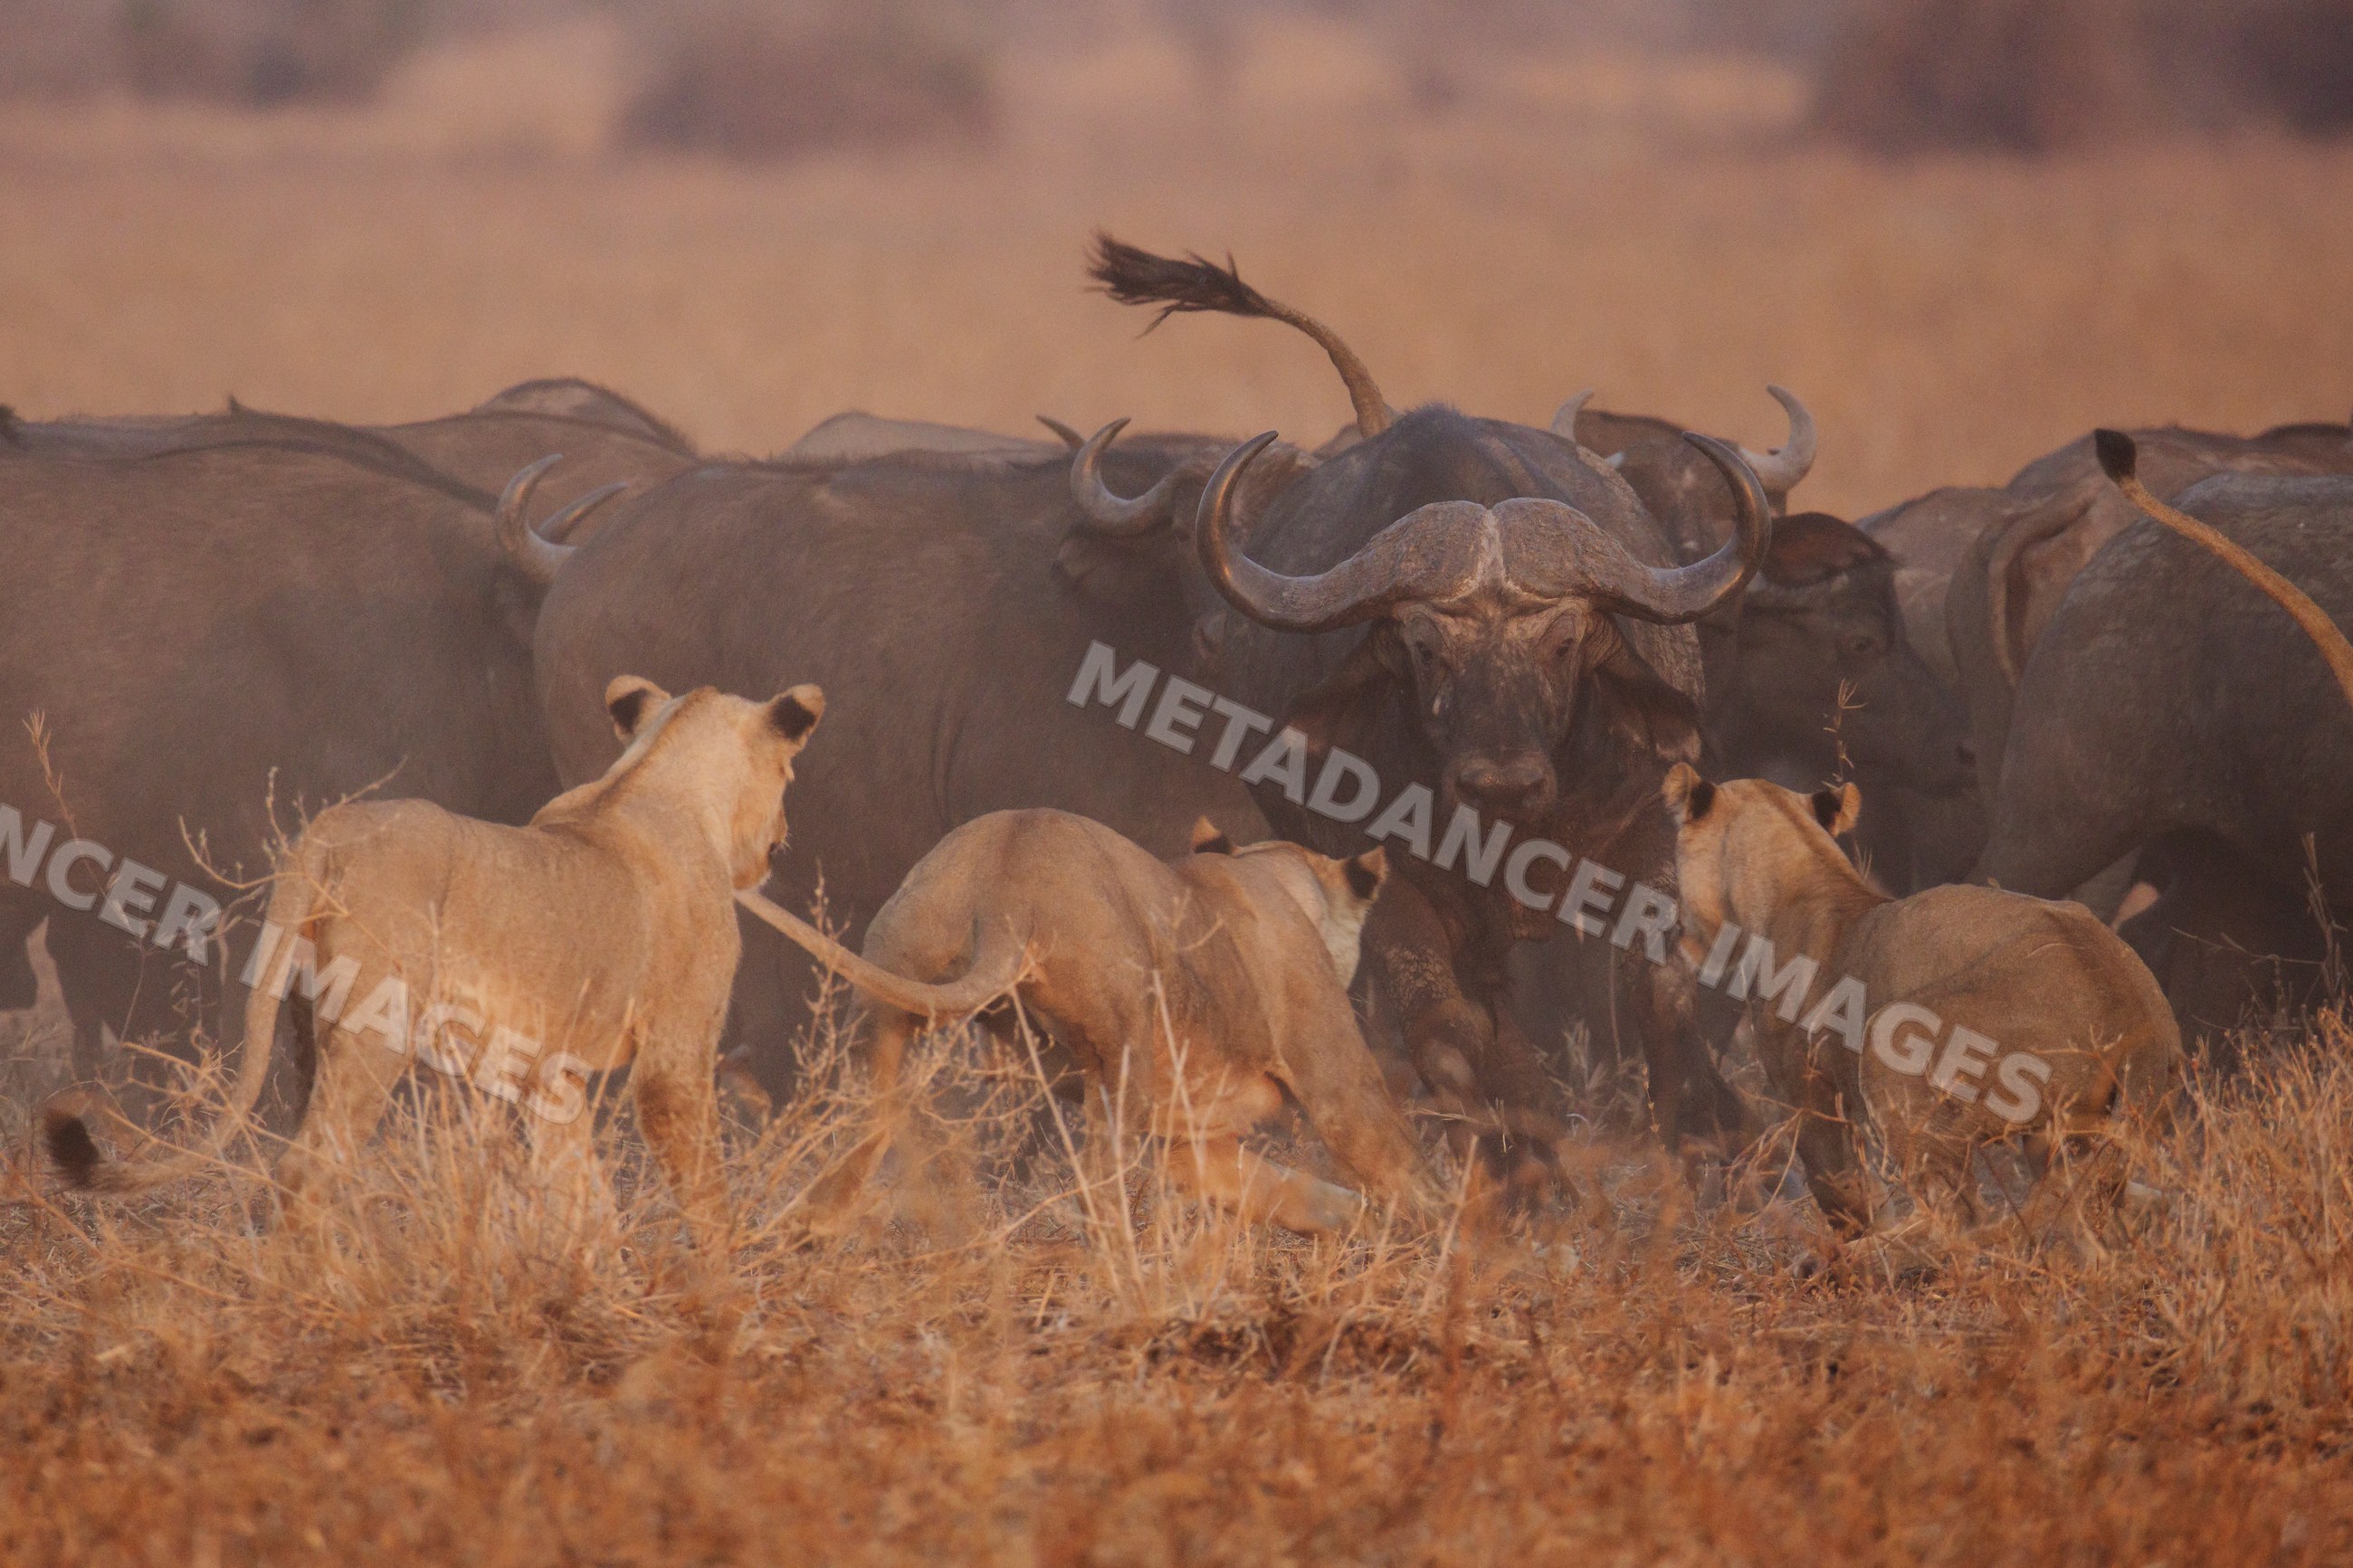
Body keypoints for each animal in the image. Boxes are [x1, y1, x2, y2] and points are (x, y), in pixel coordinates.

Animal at [46, 675, 824, 1262]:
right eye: (790, 772)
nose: (783, 839)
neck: (655, 774)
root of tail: (326, 829)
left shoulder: (550, 1073)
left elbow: (577, 1194)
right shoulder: (674, 1060)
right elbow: (702, 1188)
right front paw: (719, 1292)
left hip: (306, 1025)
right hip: (376, 1030)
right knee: (305, 1169)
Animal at [736, 809, 1445, 1234]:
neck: (1265, 871)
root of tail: (1008, 884)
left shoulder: (1194, 1142)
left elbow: (1285, 1190)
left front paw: (1357, 1225)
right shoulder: (1334, 1079)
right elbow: (1404, 1167)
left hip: (885, 996)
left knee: (858, 1137)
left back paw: (813, 1230)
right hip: (1124, 1044)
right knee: (1101, 1186)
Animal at [1663, 764, 2180, 1252]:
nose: (1677, 928)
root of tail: (2134, 1007)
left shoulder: (1805, 1088)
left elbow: (1840, 1191)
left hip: (1893, 1039)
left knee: (1960, 1215)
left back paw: (1843, 1261)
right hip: (2065, 1131)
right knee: (2091, 1204)